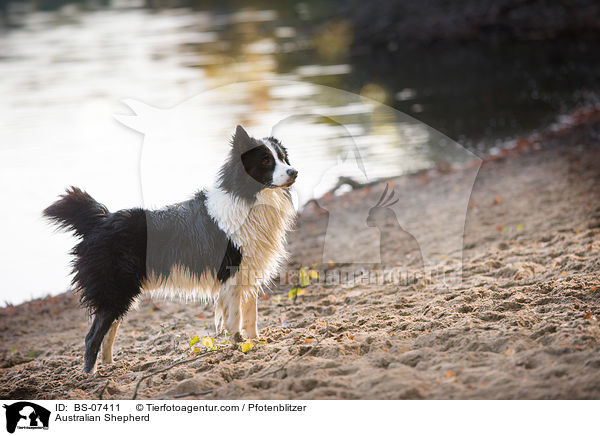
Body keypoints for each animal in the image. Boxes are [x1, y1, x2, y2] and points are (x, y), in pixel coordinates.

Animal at [44, 125, 298, 372]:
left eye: (283, 158)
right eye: (265, 160)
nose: (294, 172)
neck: (248, 197)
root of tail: (100, 220)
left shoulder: (249, 270)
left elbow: (251, 314)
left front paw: (255, 341)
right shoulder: (232, 273)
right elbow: (235, 316)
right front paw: (239, 344)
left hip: (120, 293)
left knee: (109, 331)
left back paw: (111, 366)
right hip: (114, 290)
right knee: (92, 337)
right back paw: (91, 375)